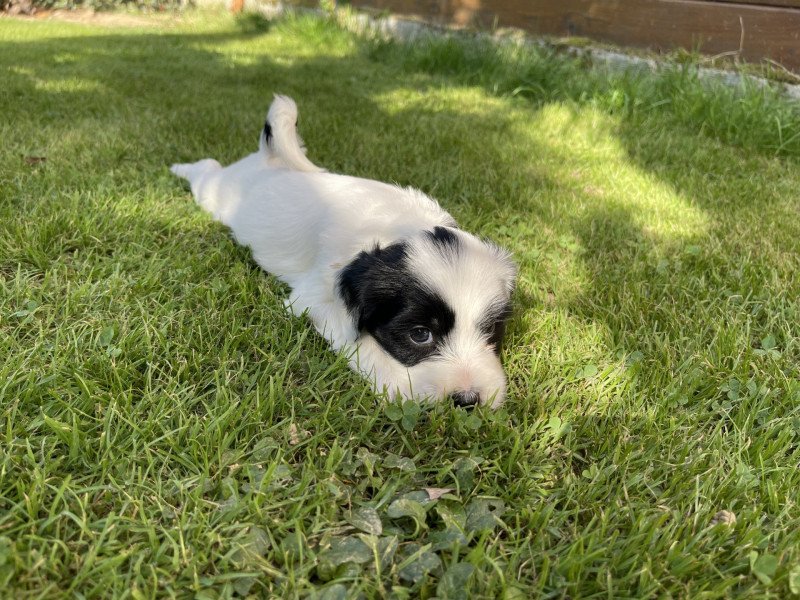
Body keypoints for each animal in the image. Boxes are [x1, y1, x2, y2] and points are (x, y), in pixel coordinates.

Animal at [171, 96, 516, 408]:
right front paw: (399, 385)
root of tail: (270, 159)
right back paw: (179, 167)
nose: (468, 400)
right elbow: (360, 345)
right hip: (217, 192)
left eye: (490, 330)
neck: (399, 227)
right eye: (420, 335)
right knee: (207, 171)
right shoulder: (316, 301)